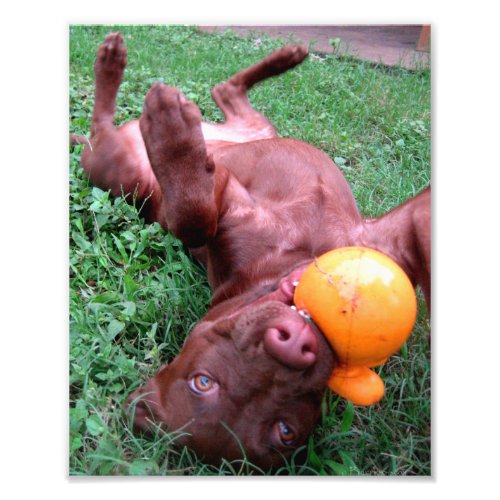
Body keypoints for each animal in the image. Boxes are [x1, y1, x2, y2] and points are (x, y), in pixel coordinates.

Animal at [76, 34, 432, 468]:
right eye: (203, 381)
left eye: (285, 430)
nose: (293, 347)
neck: (280, 267)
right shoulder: (223, 206)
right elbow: (193, 218)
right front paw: (172, 134)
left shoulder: (391, 239)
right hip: (121, 175)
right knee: (101, 123)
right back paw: (115, 69)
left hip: (258, 128)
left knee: (225, 90)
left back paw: (283, 58)